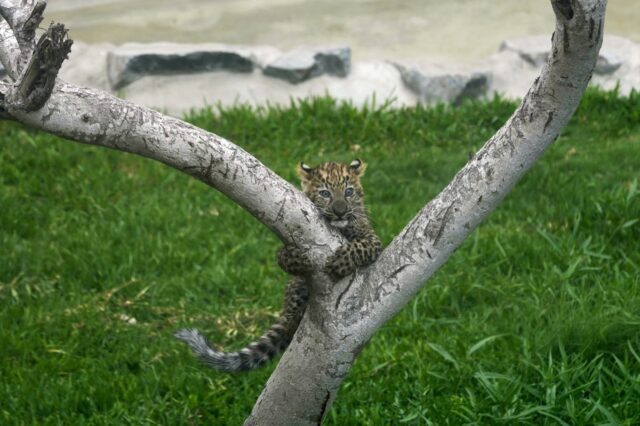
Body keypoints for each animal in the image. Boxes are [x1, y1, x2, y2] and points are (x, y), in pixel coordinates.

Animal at [175, 159, 382, 372]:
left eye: (348, 192)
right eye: (325, 193)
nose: (340, 211)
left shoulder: (372, 239)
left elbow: (360, 246)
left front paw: (339, 262)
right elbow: (281, 256)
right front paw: (297, 258)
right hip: (296, 287)